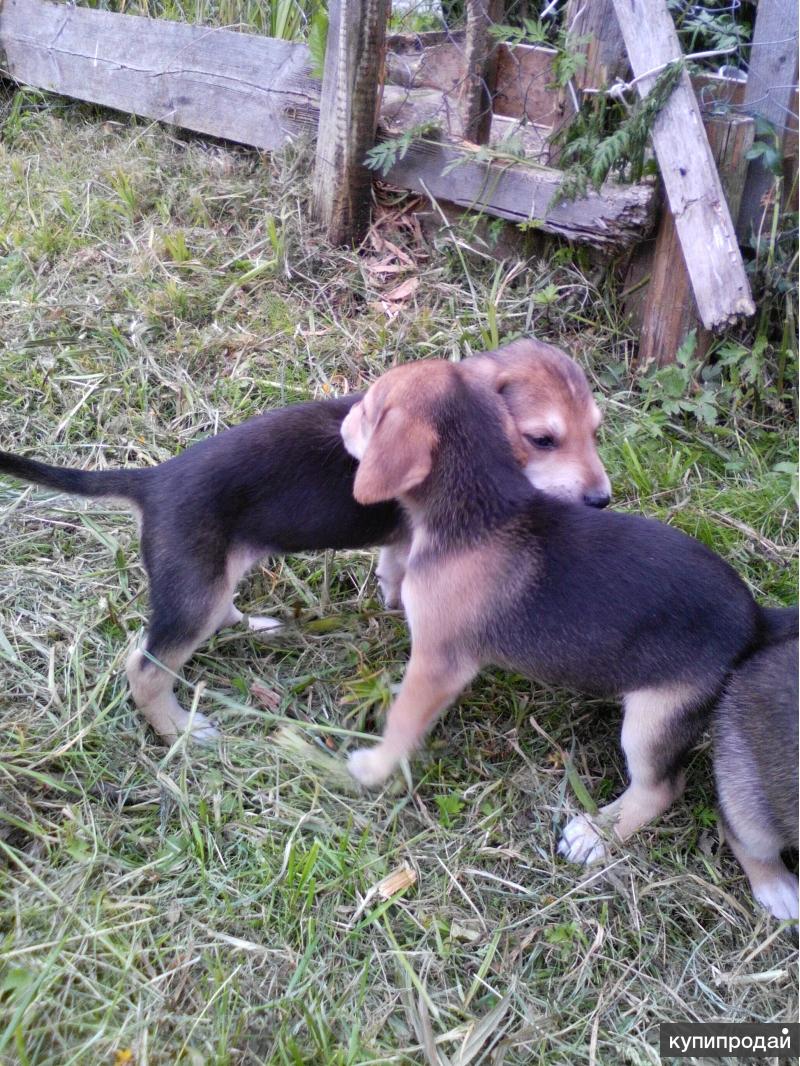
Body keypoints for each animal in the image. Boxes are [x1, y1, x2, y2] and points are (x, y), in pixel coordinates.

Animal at [0, 338, 605, 741]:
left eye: (596, 431)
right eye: (542, 439)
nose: (602, 500)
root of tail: (154, 480)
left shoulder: (404, 538)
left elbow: (392, 568)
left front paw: (389, 600)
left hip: (212, 579)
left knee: (214, 616)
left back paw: (253, 627)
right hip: (191, 592)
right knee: (145, 670)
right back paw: (179, 731)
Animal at [339, 362, 789, 861]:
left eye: (369, 408)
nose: (341, 424)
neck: (482, 505)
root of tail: (756, 618)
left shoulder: (439, 663)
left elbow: (403, 721)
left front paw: (373, 767)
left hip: (655, 717)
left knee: (661, 789)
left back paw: (596, 834)